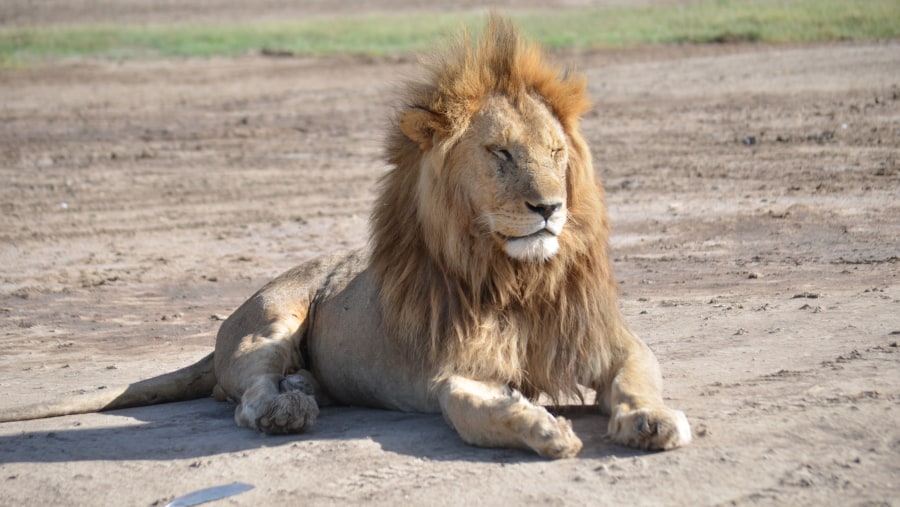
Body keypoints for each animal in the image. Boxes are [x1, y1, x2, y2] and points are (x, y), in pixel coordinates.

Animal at [0, 17, 696, 458]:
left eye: (556, 152)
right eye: (500, 153)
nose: (550, 207)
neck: (516, 276)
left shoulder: (613, 342)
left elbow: (636, 381)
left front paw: (653, 420)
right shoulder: (452, 371)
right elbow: (477, 412)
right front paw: (541, 428)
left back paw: (304, 387)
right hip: (271, 317)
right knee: (245, 395)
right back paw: (286, 407)